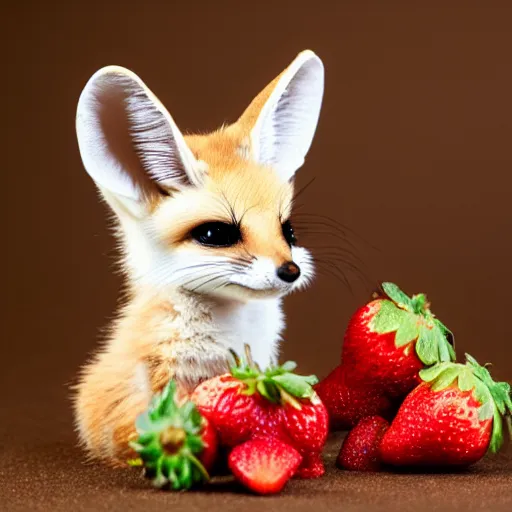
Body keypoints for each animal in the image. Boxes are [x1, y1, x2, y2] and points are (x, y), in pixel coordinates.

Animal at [73, 49, 324, 464]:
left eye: (287, 231)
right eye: (216, 234)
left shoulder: (259, 362)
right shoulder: (165, 376)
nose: (290, 270)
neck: (231, 331)